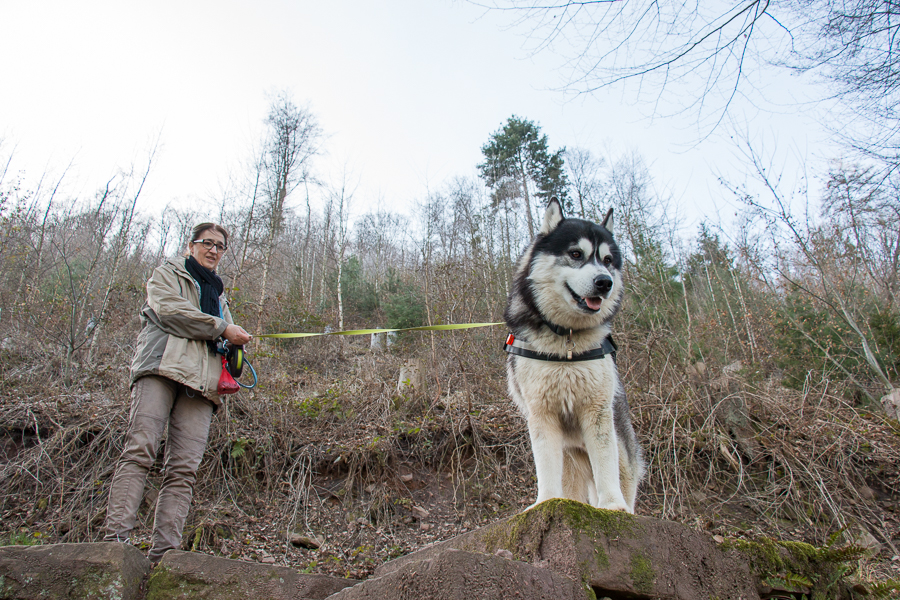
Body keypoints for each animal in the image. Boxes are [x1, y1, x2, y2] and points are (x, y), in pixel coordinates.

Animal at [506, 197, 640, 510]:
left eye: (607, 261)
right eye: (576, 254)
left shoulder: (598, 413)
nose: (605, 282)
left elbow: (606, 467)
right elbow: (545, 468)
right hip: (571, 460)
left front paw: (613, 506)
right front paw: (545, 501)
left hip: (621, 450)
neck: (566, 340)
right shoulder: (542, 415)